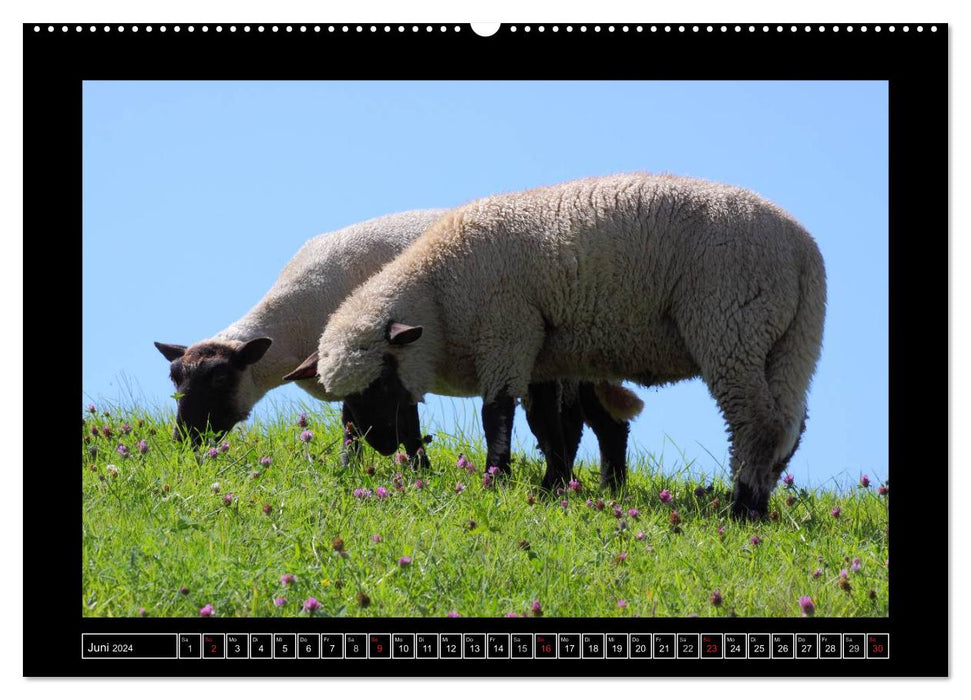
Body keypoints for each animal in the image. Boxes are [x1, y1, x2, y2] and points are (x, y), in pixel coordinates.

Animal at [304, 175, 828, 516]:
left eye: (379, 382)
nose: (378, 446)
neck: (440, 295)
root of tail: (804, 252)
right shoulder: (541, 353)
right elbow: (548, 426)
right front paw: (553, 486)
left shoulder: (508, 332)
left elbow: (497, 417)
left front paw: (496, 481)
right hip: (790, 344)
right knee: (789, 425)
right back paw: (759, 500)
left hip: (730, 326)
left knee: (756, 422)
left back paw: (741, 506)